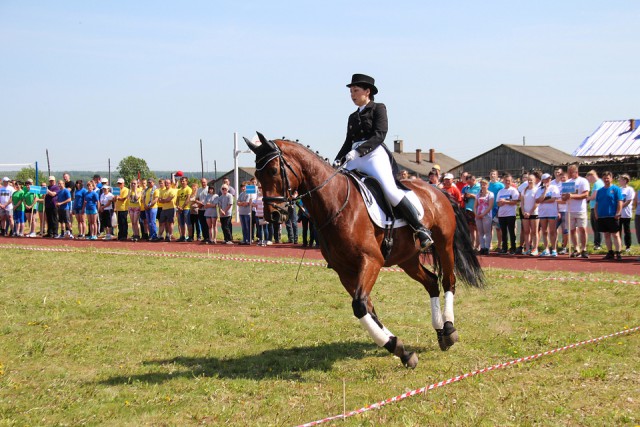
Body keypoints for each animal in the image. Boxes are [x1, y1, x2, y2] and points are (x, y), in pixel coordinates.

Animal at [246, 133, 484, 368]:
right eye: (257, 174)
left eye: (273, 171)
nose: (273, 215)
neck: (335, 203)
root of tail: (436, 190)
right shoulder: (344, 271)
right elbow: (367, 308)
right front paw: (400, 349)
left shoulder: (371, 261)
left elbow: (360, 305)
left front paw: (397, 347)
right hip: (407, 258)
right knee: (432, 282)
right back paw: (441, 332)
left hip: (444, 244)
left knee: (449, 281)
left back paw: (450, 330)